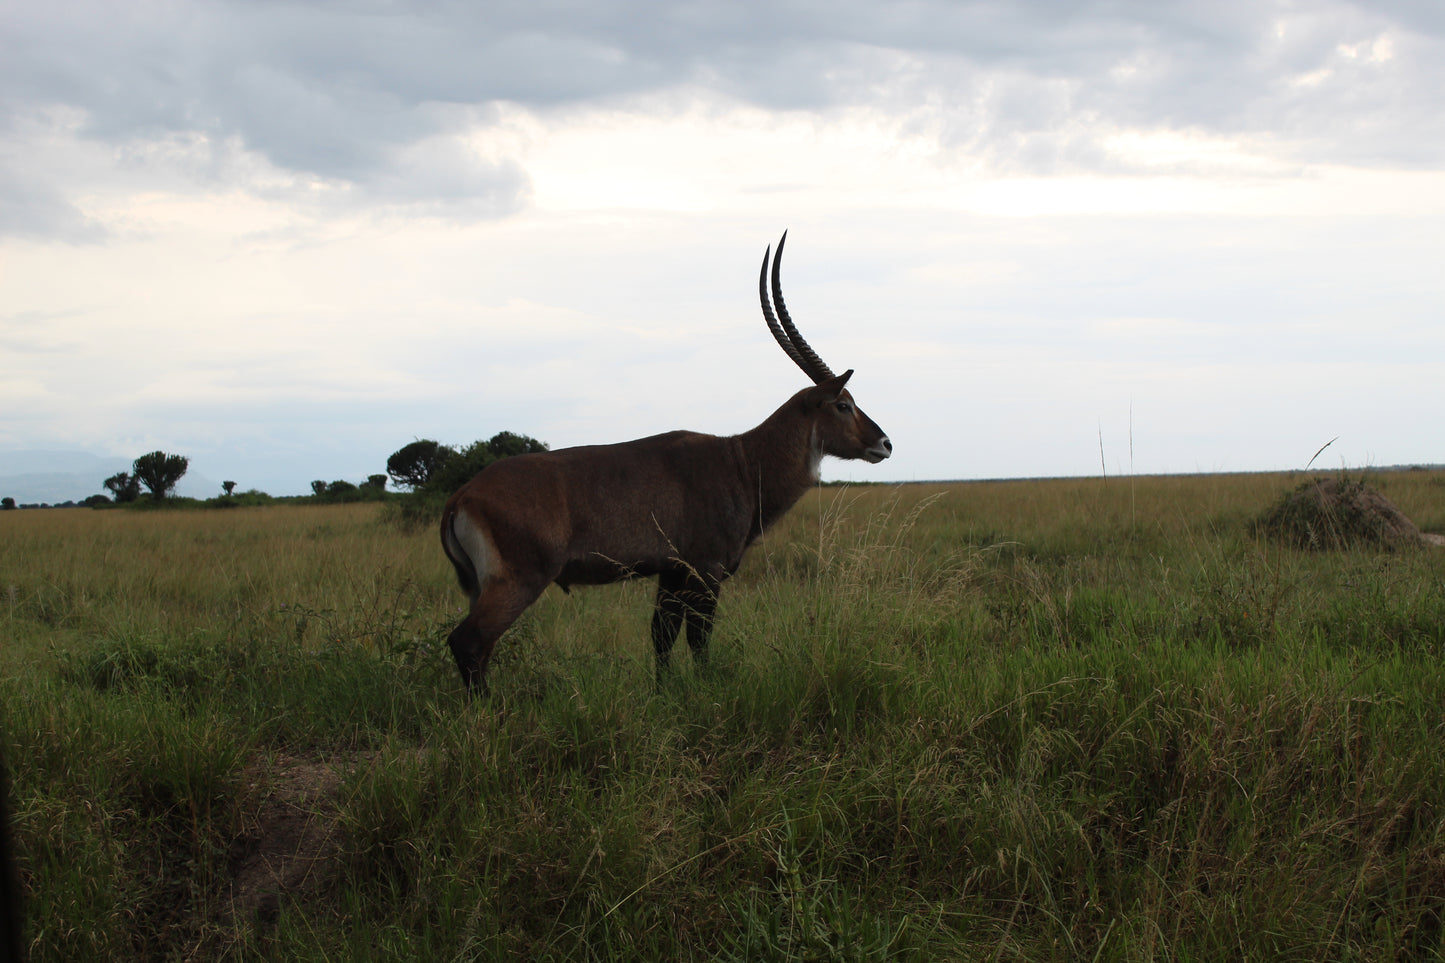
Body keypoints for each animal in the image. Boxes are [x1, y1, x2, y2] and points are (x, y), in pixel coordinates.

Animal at [439, 235, 890, 694]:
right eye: (843, 404)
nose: (885, 444)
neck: (743, 462)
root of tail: (461, 497)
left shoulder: (670, 573)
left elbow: (661, 636)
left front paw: (664, 694)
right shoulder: (705, 572)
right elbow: (698, 639)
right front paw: (706, 692)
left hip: (482, 587)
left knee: (479, 648)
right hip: (518, 581)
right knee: (469, 642)